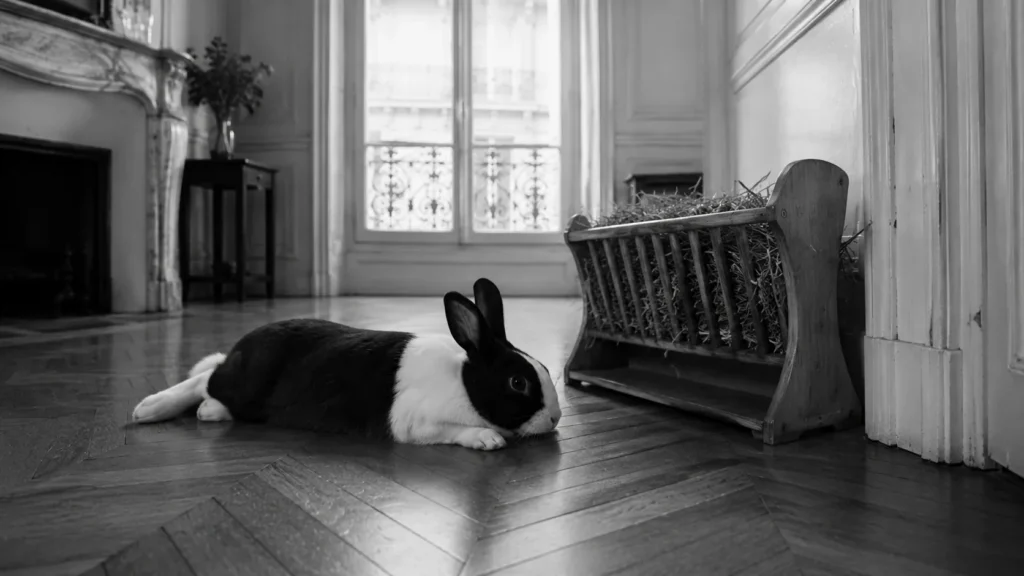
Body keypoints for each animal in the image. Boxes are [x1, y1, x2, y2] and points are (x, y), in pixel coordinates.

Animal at [130, 278, 561, 451]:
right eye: (518, 383)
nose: (556, 418)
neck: (463, 381)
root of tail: (245, 344)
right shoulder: (417, 423)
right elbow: (455, 430)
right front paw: (487, 440)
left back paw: (206, 411)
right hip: (248, 384)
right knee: (207, 377)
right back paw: (150, 409)